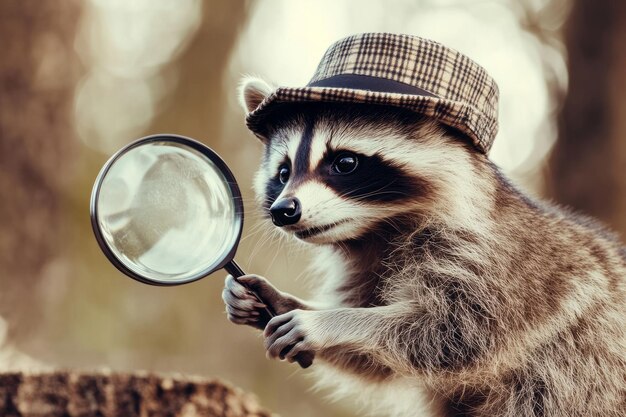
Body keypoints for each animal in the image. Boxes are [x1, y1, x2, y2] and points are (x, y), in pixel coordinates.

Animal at [222, 77, 620, 416]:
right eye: (283, 172)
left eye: (345, 162)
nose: (283, 211)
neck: (381, 230)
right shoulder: (369, 267)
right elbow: (377, 363)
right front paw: (277, 301)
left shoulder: (502, 266)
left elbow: (456, 337)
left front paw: (331, 322)